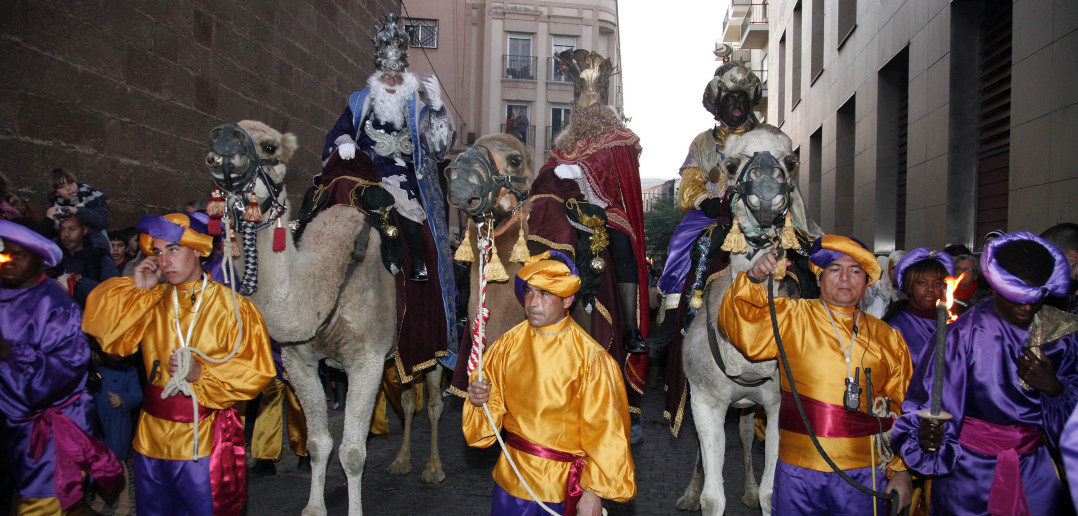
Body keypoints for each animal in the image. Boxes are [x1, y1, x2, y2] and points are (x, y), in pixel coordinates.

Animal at [203, 119, 444, 514]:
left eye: (269, 146)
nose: (221, 147)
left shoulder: (366, 359)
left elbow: (353, 452)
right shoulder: (297, 358)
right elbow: (318, 443)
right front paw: (314, 507)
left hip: (432, 342)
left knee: (435, 402)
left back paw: (433, 468)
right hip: (399, 354)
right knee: (410, 398)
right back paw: (402, 461)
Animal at [676, 126, 819, 516]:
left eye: (791, 161)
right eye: (731, 164)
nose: (768, 186)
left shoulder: (780, 405)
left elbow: (772, 492)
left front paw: (759, 494)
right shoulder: (705, 399)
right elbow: (712, 497)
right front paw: (697, 496)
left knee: (743, 432)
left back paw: (750, 491)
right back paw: (688, 494)